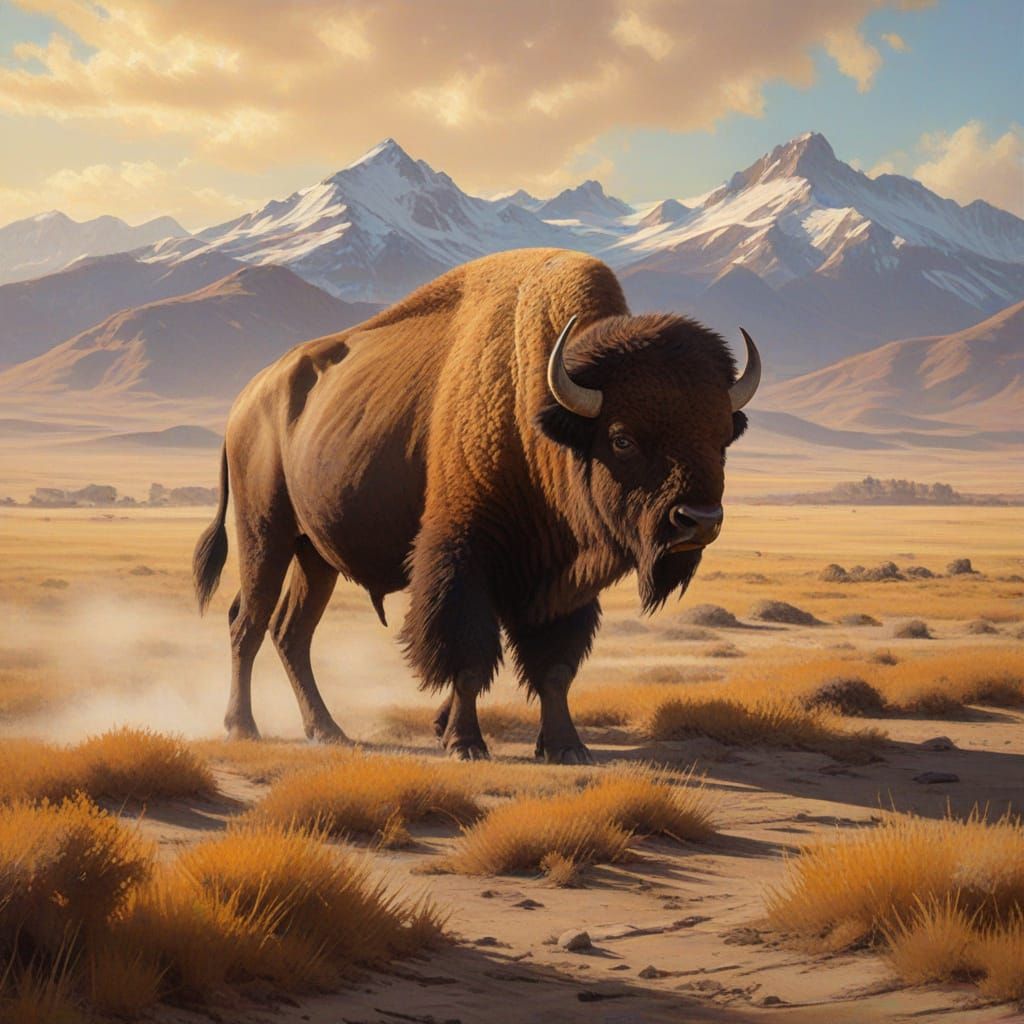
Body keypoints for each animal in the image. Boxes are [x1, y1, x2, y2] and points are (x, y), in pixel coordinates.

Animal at [193, 248, 760, 762]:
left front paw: (566, 747)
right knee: (248, 622)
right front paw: (465, 743)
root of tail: (247, 400)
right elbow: (467, 657)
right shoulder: (464, 555)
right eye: (621, 439)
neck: (542, 415)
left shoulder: (561, 582)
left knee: (292, 632)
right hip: (266, 533)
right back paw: (243, 728)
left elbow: (554, 668)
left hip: (316, 555)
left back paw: (328, 731)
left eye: (721, 438)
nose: (698, 521)